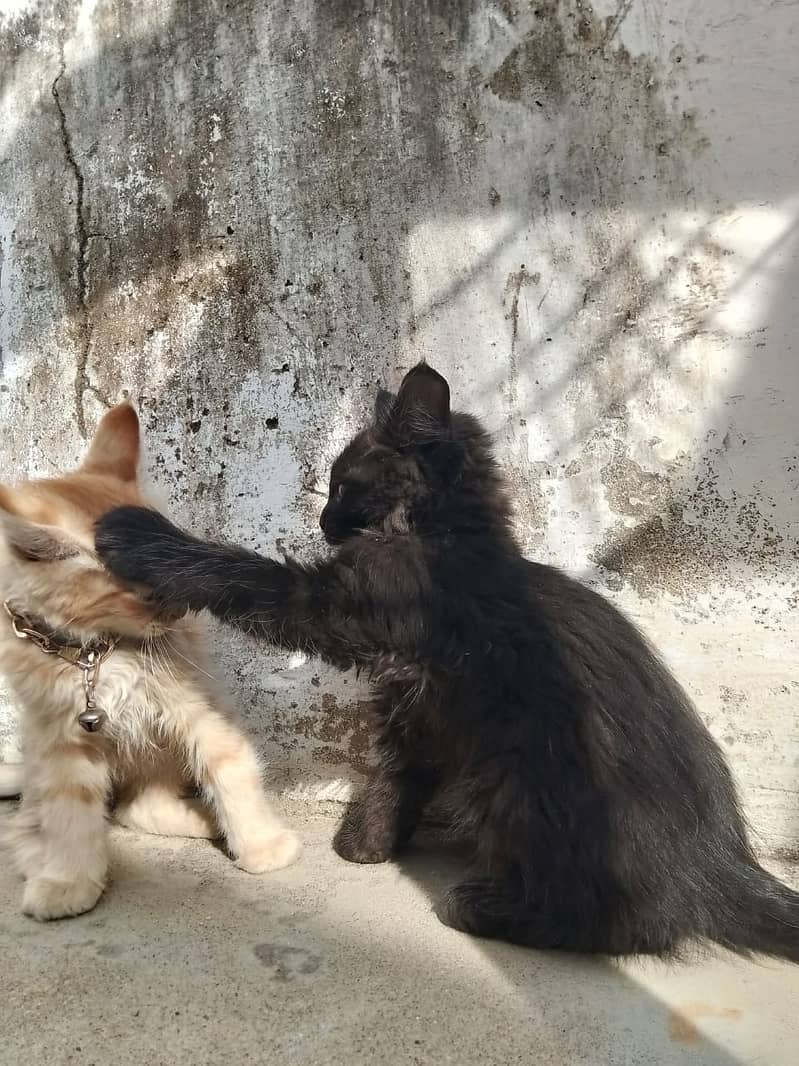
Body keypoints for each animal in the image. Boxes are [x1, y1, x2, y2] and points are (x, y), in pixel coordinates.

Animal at [0, 402, 300, 921]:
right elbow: (70, 809)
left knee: (138, 807)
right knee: (45, 818)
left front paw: (263, 846)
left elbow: (230, 764)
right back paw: (38, 854)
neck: (97, 653)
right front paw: (68, 880)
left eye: (172, 571)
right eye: (148, 592)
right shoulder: (63, 737)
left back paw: (207, 821)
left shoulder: (196, 706)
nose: (184, 609)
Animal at [95, 362, 799, 963]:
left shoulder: (339, 609)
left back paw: (487, 908)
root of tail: (716, 866)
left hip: (518, 784)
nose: (322, 521)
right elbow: (397, 775)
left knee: (640, 923)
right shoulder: (419, 707)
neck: (442, 540)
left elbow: (245, 573)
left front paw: (137, 538)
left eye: (343, 484)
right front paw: (366, 843)